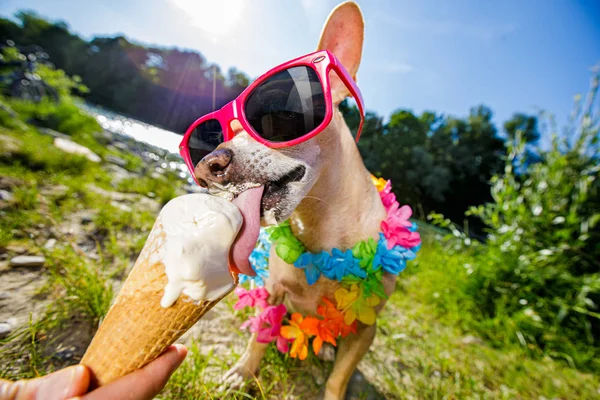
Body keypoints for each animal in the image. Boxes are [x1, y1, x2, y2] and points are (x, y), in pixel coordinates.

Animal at [195, 3, 396, 400]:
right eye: (223, 134)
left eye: (277, 117)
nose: (208, 165)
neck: (321, 226)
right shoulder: (273, 294)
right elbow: (259, 337)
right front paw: (241, 373)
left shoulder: (367, 329)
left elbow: (339, 378)